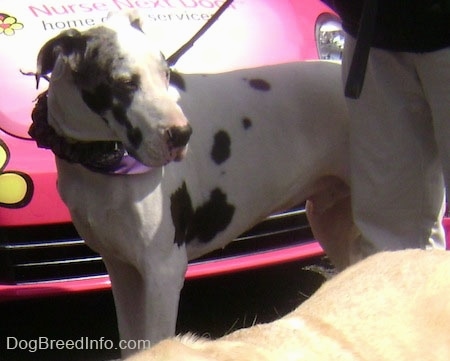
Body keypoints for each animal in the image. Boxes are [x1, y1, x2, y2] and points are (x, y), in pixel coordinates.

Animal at [29, 10, 356, 354]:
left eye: (165, 74)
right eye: (125, 83)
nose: (182, 134)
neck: (97, 164)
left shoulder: (162, 272)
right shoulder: (122, 269)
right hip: (330, 223)